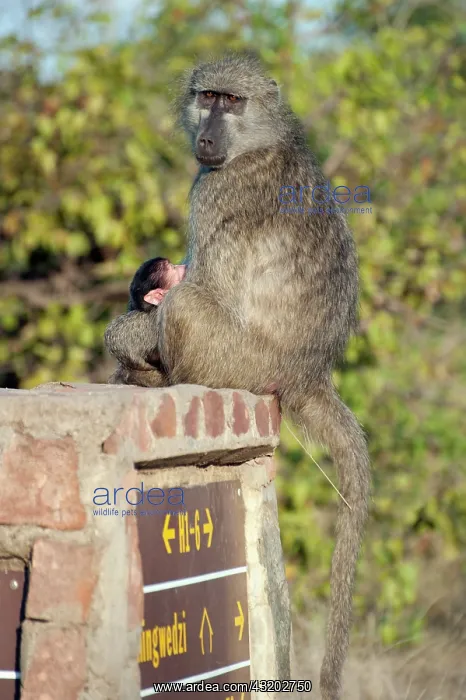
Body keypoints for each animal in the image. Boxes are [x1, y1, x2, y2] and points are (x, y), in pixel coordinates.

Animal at [104, 53, 370, 699]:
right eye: (208, 97)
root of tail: (307, 372)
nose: (206, 138)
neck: (263, 140)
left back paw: (154, 376)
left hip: (235, 361)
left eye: (232, 101)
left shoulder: (215, 191)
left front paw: (127, 334)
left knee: (186, 309)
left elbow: (205, 290)